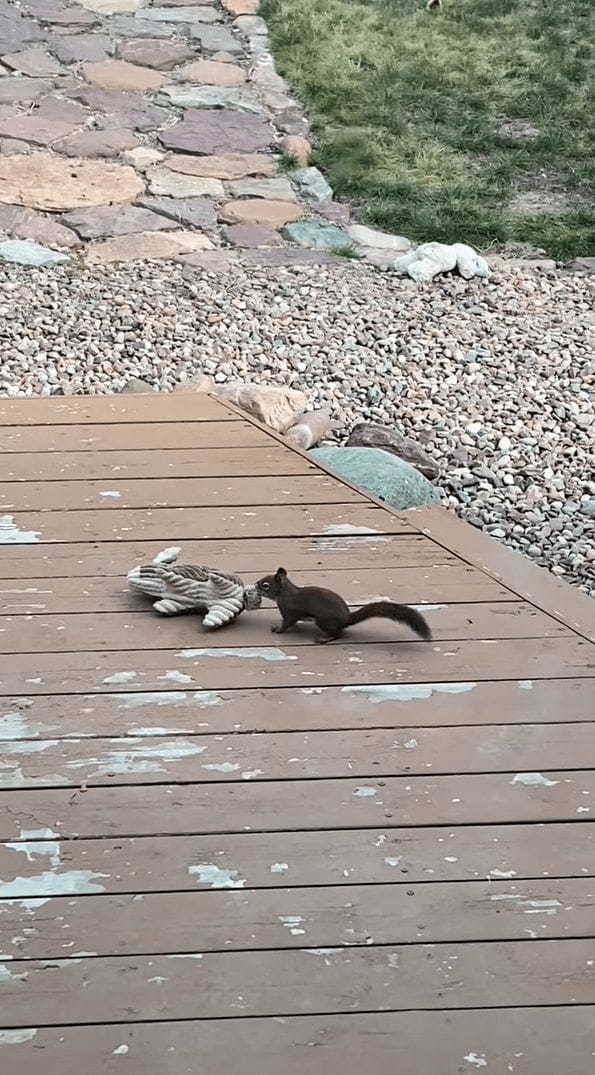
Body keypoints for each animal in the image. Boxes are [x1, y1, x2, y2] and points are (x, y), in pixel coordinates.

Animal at [254, 567, 432, 640]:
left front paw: (278, 629)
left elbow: (287, 623)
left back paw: (324, 638)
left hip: (323, 621)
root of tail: (346, 619)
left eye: (265, 585)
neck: (285, 593)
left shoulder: (289, 610)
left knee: (339, 634)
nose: (255, 584)